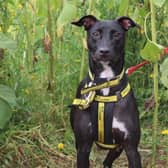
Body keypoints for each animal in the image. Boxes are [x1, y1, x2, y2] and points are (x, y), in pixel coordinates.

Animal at [70, 15, 142, 167]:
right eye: (95, 34)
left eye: (117, 34)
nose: (104, 51)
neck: (105, 83)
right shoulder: (83, 147)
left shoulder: (131, 148)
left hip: (118, 148)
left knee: (107, 161)